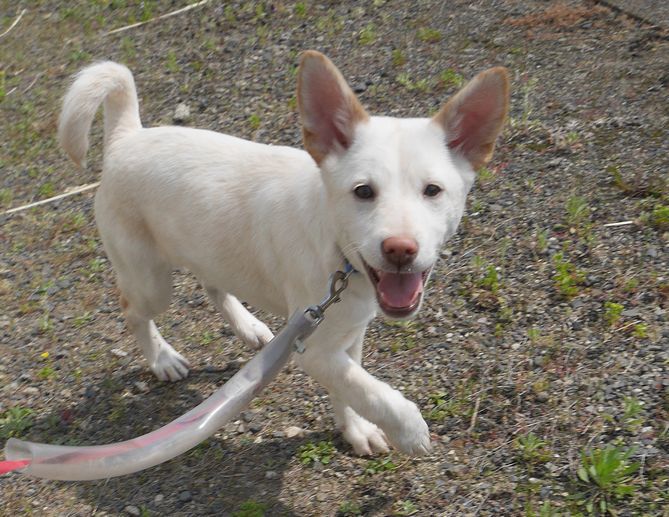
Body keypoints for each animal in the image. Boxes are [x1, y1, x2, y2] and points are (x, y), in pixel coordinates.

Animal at [58, 51, 509, 456]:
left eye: (432, 190)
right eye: (363, 191)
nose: (399, 249)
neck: (339, 254)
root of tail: (127, 137)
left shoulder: (346, 336)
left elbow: (353, 388)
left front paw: (356, 431)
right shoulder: (316, 347)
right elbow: (372, 392)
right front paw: (409, 430)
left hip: (209, 248)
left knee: (211, 283)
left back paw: (248, 327)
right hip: (151, 281)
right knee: (132, 310)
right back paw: (162, 358)